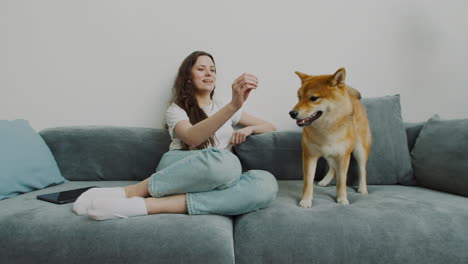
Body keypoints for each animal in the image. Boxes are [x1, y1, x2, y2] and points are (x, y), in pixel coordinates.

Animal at [288, 67, 372, 207]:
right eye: (299, 97)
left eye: (313, 98)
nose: (292, 113)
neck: (326, 129)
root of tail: (353, 99)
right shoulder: (309, 155)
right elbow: (308, 182)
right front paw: (306, 200)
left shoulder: (343, 156)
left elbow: (342, 181)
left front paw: (342, 199)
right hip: (328, 154)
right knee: (333, 169)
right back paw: (324, 181)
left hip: (359, 150)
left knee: (362, 170)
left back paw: (363, 188)